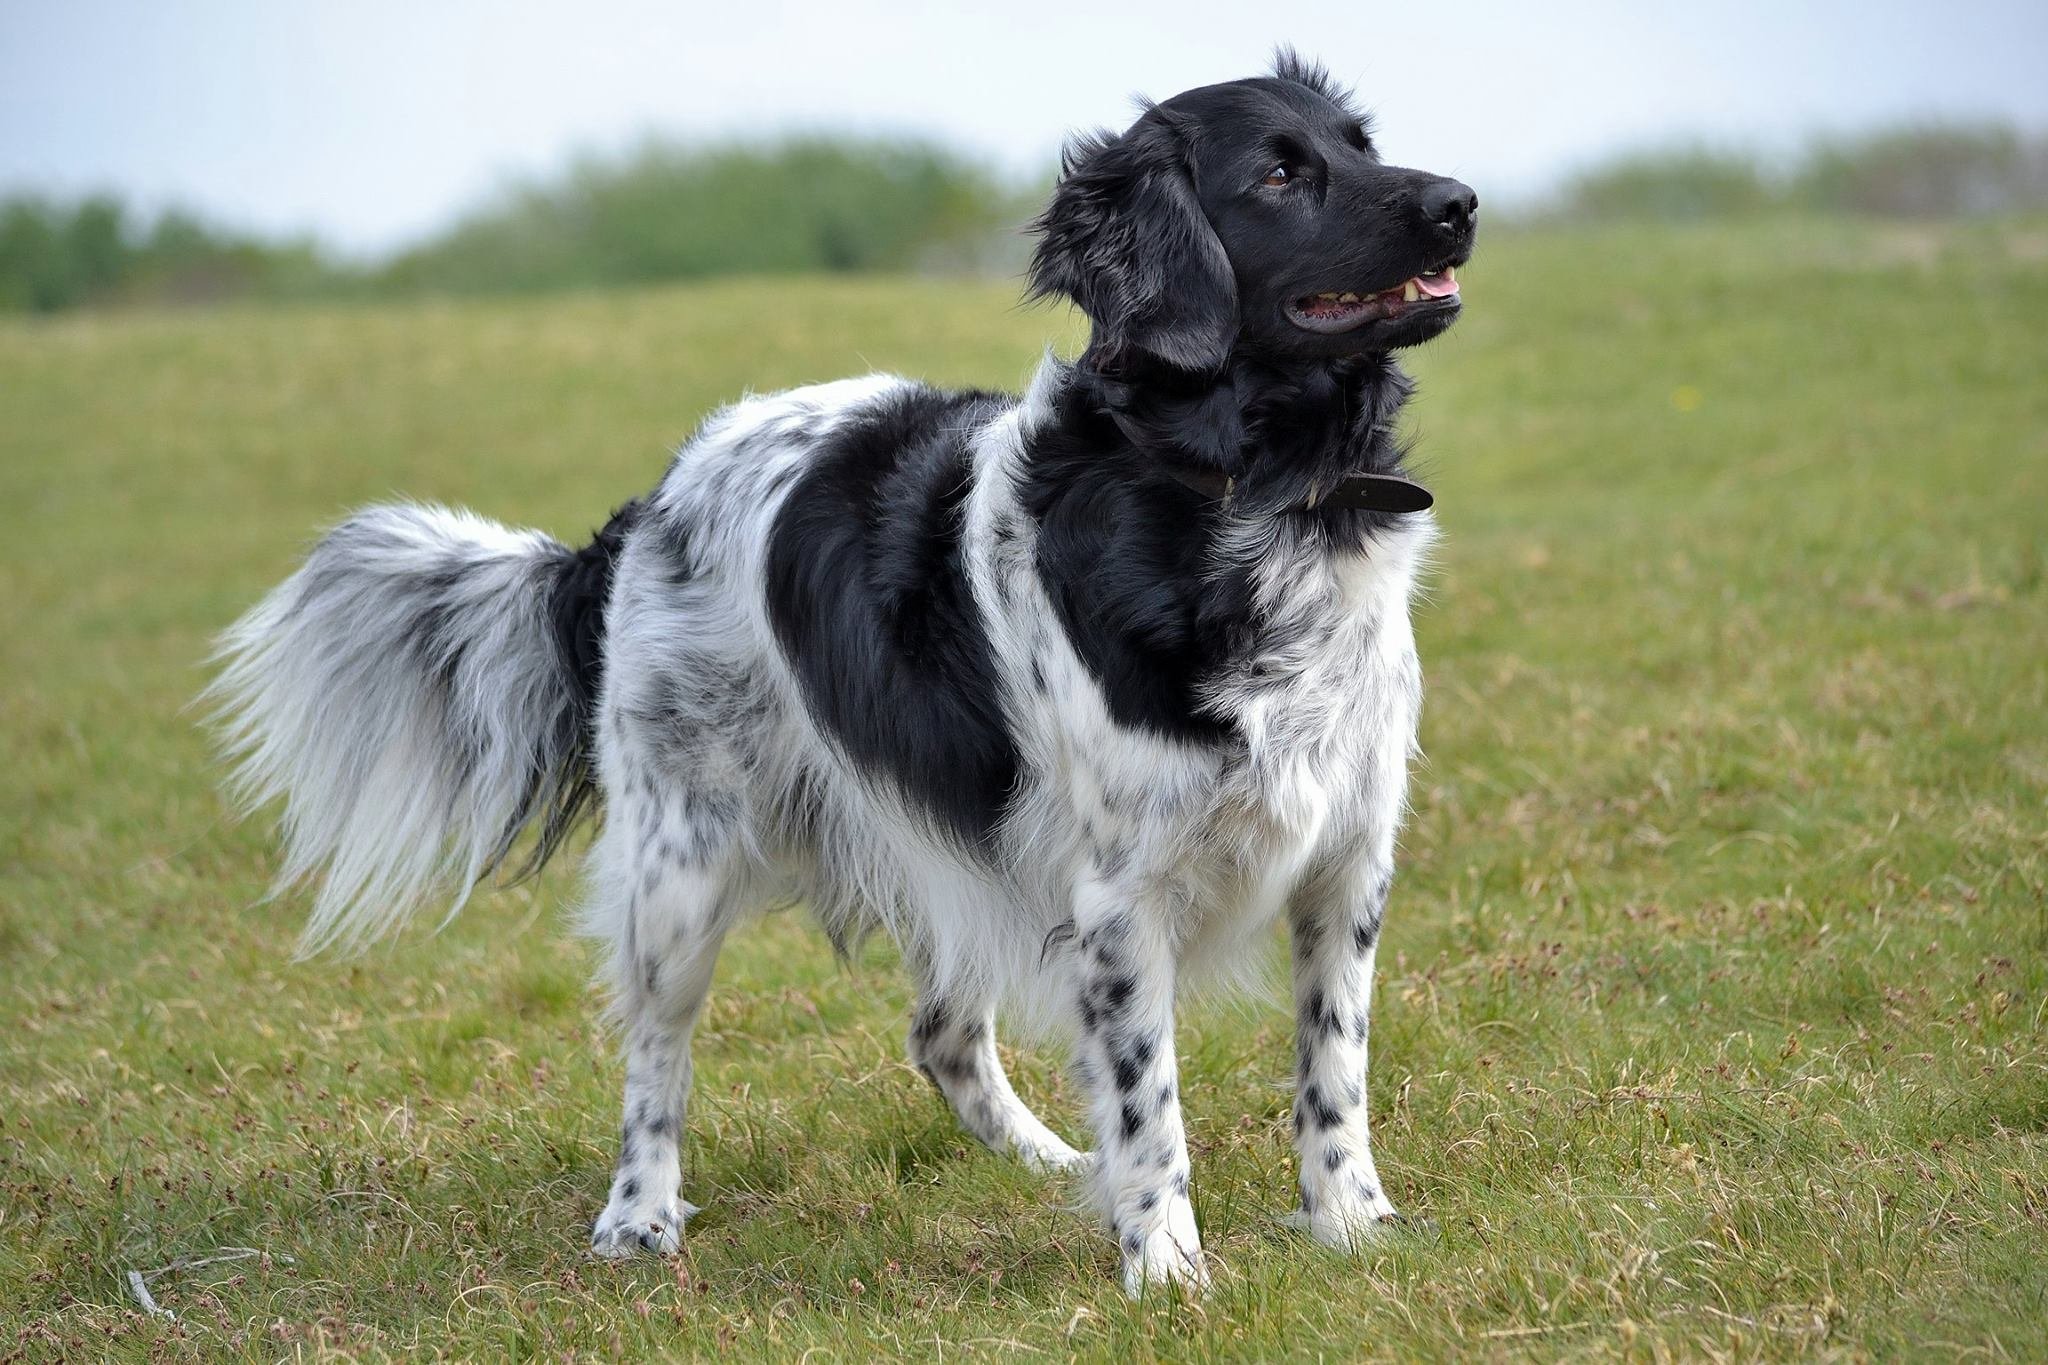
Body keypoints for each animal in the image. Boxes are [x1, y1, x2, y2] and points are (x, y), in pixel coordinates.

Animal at [207, 50, 1474, 1293]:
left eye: (1360, 144)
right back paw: (638, 1217)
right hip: (684, 862)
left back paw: (1048, 1161)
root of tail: (647, 504)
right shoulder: (1120, 897)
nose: (1459, 202)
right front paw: (1164, 1267)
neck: (1259, 498)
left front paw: (1349, 1225)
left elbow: (1330, 1073)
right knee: (654, 1053)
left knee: (942, 1036)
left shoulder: (1345, 861)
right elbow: (1147, 1101)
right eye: (1278, 175)